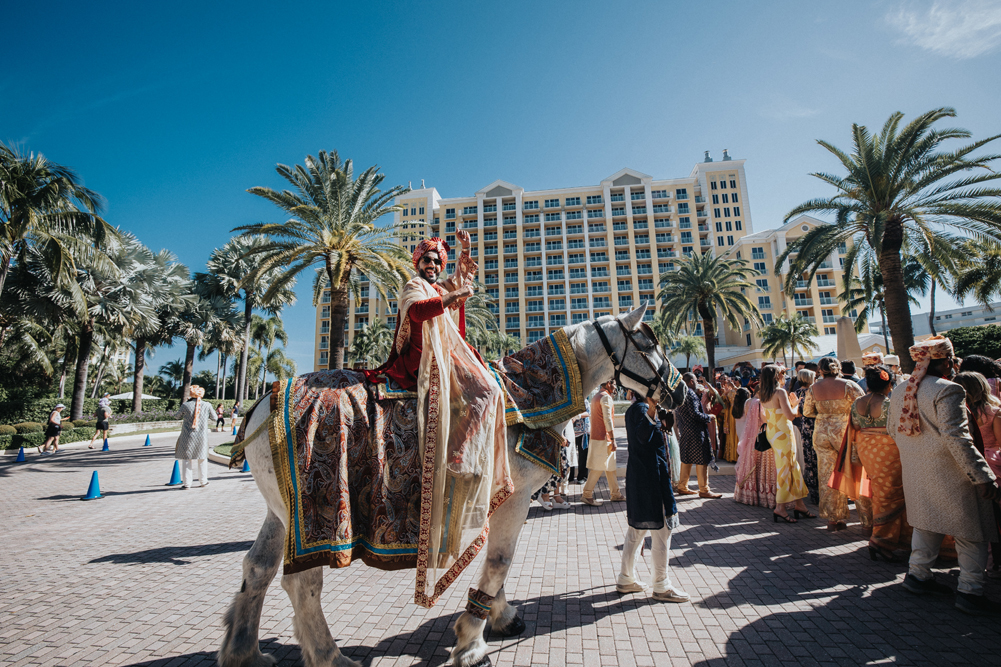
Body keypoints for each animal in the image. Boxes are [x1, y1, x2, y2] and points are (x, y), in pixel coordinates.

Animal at [219, 302, 688, 664]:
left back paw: (243, 651)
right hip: (316, 511)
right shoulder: (517, 497)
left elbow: (496, 564)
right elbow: (499, 560)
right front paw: (472, 644)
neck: (529, 397)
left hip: (281, 511)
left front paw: (499, 615)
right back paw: (330, 657)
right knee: (302, 584)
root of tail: (261, 403)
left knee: (257, 568)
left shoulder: (500, 499)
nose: (680, 392)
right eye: (650, 344)